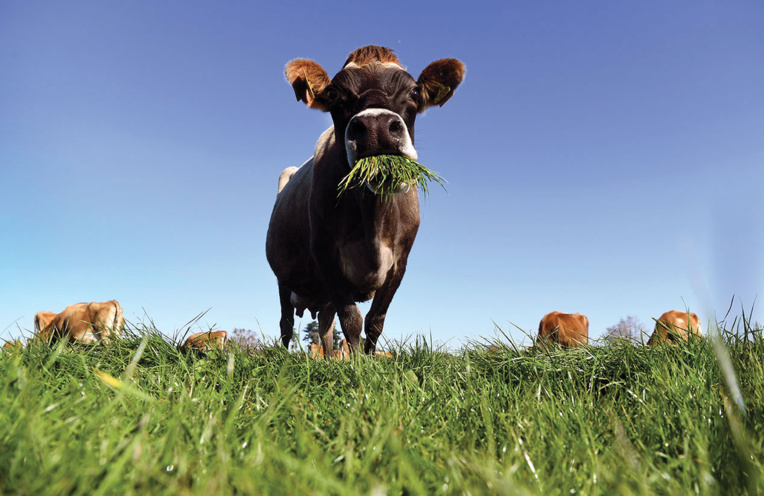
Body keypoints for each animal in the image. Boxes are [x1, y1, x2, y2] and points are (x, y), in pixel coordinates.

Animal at [266, 45, 465, 356]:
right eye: (333, 93)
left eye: (414, 91)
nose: (376, 126)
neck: (373, 219)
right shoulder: (324, 253)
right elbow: (352, 319)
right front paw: (358, 363)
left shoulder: (399, 262)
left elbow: (374, 320)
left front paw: (370, 361)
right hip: (283, 279)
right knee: (285, 323)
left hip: (322, 295)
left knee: (325, 325)